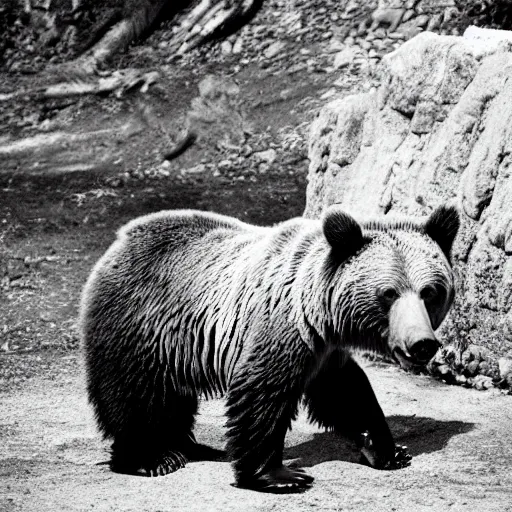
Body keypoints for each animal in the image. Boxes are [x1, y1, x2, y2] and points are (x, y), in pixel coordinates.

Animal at [81, 206, 460, 494]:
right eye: (388, 293)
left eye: (430, 292)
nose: (421, 343)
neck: (320, 312)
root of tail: (121, 239)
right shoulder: (282, 327)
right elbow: (263, 393)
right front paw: (280, 476)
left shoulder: (326, 352)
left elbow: (347, 395)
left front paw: (391, 451)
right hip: (139, 324)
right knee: (135, 395)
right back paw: (154, 458)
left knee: (175, 398)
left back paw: (190, 447)